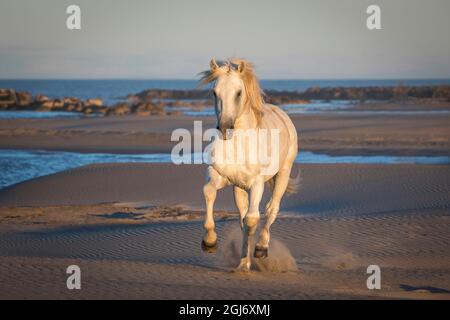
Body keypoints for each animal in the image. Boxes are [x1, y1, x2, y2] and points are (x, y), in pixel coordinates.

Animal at [200, 58, 298, 272]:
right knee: (243, 218)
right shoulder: (220, 176)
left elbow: (253, 218)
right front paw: (210, 242)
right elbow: (209, 192)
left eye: (238, 92)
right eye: (214, 92)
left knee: (271, 209)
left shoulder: (257, 184)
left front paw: (251, 257)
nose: (225, 128)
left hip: (283, 174)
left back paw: (261, 248)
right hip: (239, 189)